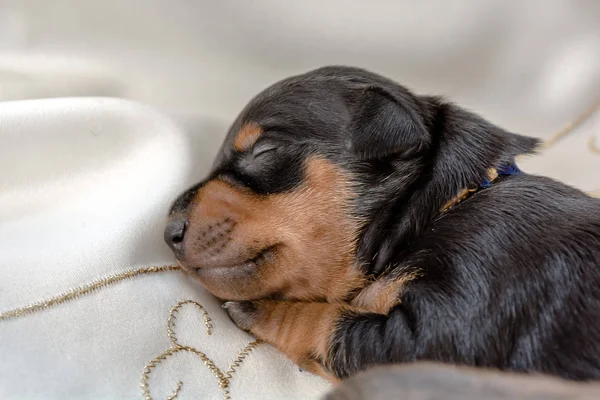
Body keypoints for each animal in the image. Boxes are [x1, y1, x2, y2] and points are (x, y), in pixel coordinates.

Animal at [164, 65, 600, 382]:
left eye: (265, 150)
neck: (443, 208)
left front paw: (259, 310)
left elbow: (328, 323)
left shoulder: (457, 317)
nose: (168, 232)